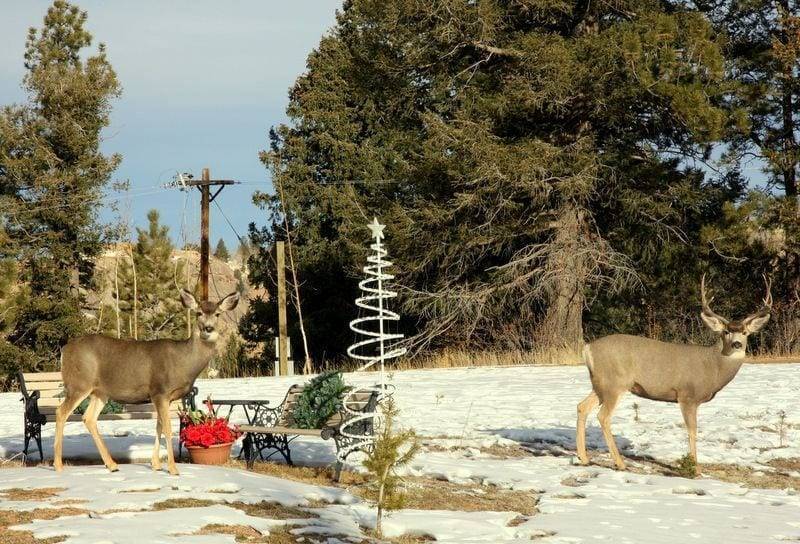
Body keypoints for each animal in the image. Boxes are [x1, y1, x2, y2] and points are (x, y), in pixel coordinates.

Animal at [54, 292, 238, 474]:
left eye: (218, 314)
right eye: (198, 313)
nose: (208, 329)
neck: (183, 361)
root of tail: (65, 350)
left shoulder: (163, 397)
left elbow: (158, 425)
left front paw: (156, 464)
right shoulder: (160, 391)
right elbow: (167, 427)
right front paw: (173, 468)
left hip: (99, 392)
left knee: (89, 418)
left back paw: (112, 465)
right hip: (79, 384)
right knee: (61, 412)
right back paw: (58, 465)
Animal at [580, 274, 772, 474]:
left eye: (745, 332)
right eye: (726, 331)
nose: (737, 344)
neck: (713, 366)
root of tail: (588, 348)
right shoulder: (687, 395)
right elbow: (692, 431)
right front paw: (695, 468)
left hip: (600, 384)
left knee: (582, 407)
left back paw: (584, 458)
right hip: (615, 384)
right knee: (603, 416)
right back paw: (620, 463)